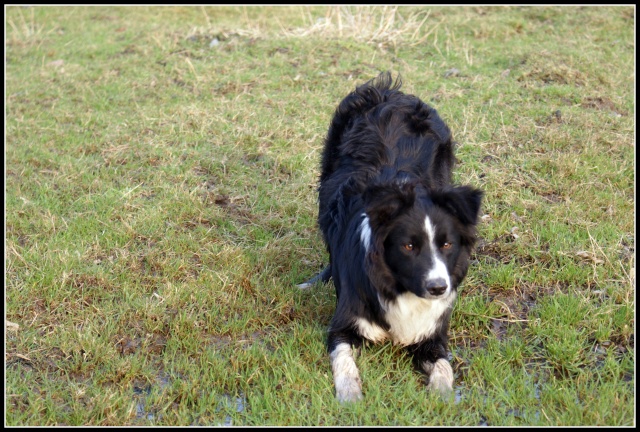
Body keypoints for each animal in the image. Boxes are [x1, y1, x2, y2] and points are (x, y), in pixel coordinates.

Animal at [298, 72, 480, 404]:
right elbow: (344, 361)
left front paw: (443, 399)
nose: (438, 288)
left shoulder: (434, 334)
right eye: (408, 246)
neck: (401, 289)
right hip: (327, 184)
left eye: (447, 244)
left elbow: (444, 367)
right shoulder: (343, 325)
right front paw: (351, 398)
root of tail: (390, 92)